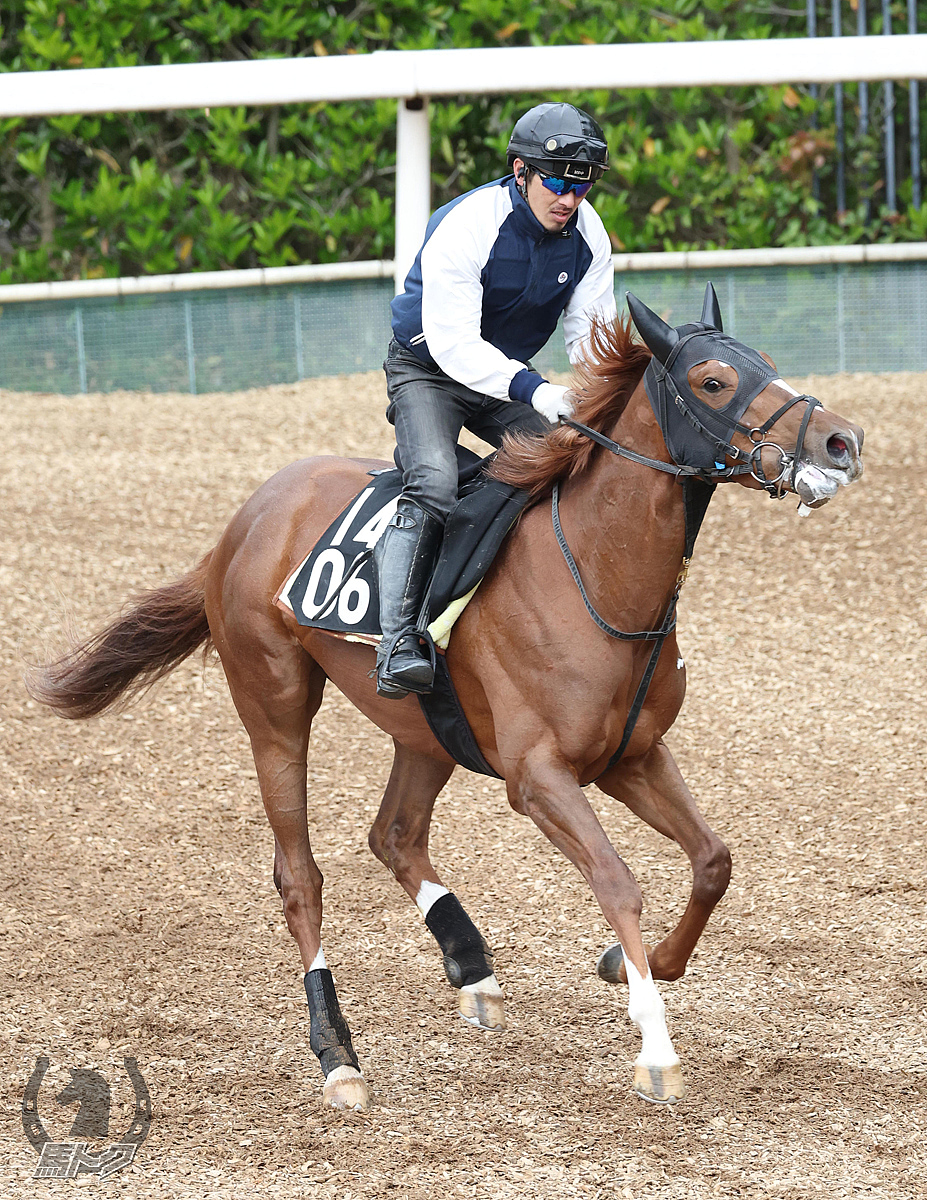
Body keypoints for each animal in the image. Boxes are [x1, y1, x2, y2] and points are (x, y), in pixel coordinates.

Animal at [27, 285, 859, 1108]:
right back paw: (338, 1056)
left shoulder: (631, 755)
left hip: (424, 729)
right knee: (300, 877)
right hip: (273, 707)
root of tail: (243, 521)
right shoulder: (538, 776)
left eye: (768, 362)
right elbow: (618, 883)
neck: (595, 573)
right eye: (713, 380)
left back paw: (471, 966)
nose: (840, 441)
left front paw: (633, 965)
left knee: (393, 834)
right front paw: (654, 1045)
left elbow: (713, 861)